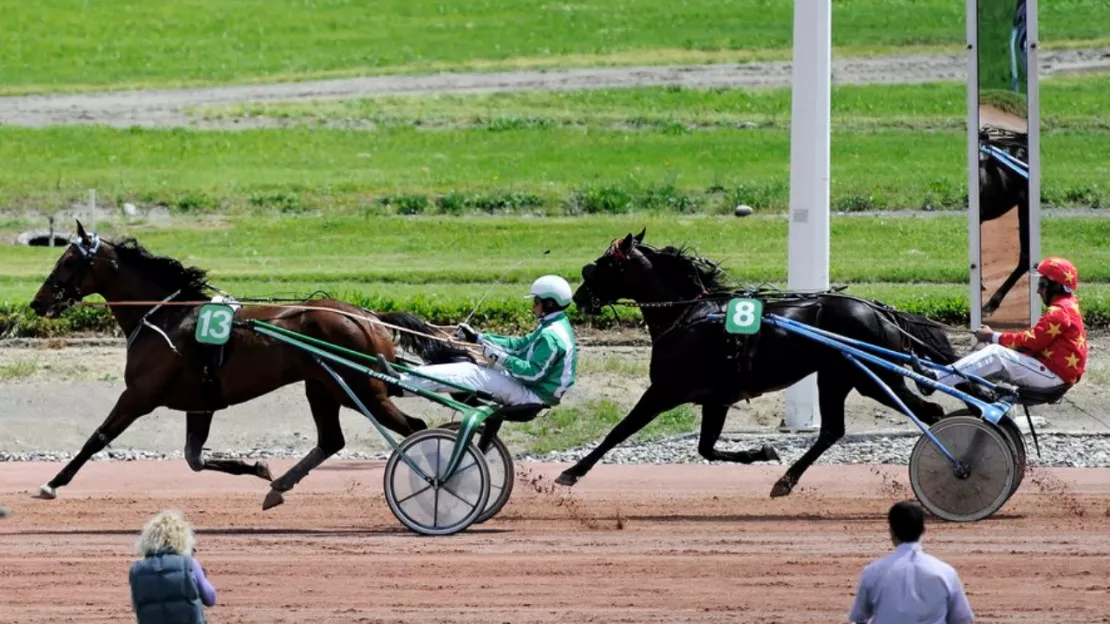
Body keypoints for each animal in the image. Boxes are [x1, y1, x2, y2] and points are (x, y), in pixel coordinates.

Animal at [28, 220, 466, 508]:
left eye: (67, 262)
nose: (37, 303)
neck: (164, 315)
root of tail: (367, 316)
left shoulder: (138, 395)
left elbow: (98, 437)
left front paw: (52, 483)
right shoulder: (200, 403)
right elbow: (195, 459)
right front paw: (258, 468)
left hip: (362, 389)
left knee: (415, 428)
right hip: (324, 388)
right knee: (332, 440)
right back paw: (280, 486)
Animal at [559, 228, 959, 495]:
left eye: (602, 265)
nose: (579, 297)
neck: (688, 315)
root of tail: (879, 311)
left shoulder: (664, 390)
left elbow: (619, 431)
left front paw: (572, 471)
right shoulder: (716, 399)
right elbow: (706, 448)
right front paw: (763, 451)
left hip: (871, 378)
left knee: (928, 412)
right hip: (842, 377)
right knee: (838, 429)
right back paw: (786, 480)